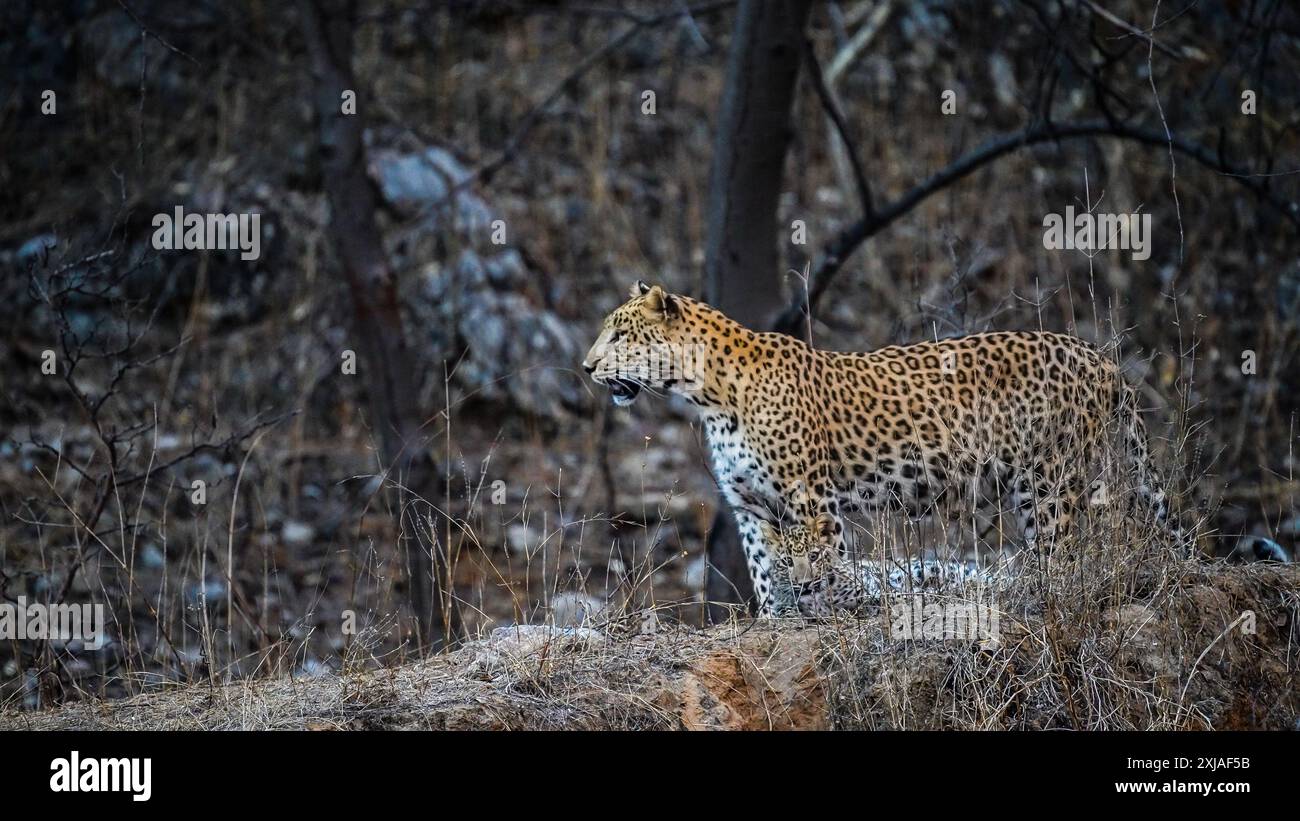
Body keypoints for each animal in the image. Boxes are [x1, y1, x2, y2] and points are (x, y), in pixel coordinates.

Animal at [582, 281, 1182, 616]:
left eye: (620, 335)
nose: (587, 367)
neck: (706, 393)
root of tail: (1099, 356)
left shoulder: (811, 497)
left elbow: (826, 559)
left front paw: (830, 610)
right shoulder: (748, 504)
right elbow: (764, 566)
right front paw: (775, 619)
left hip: (1050, 480)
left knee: (1067, 555)